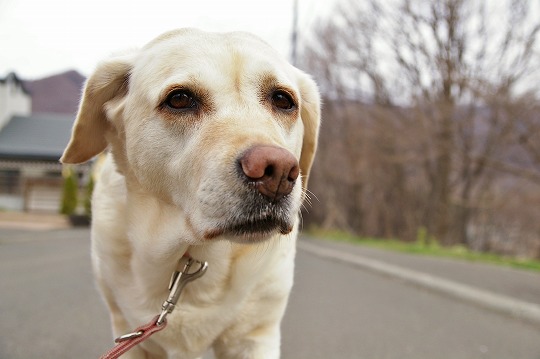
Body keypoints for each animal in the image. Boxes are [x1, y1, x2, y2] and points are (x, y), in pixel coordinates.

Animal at [61, 28, 318, 359]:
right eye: (180, 99)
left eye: (283, 100)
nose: (277, 172)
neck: (191, 256)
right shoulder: (127, 329)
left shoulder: (255, 336)